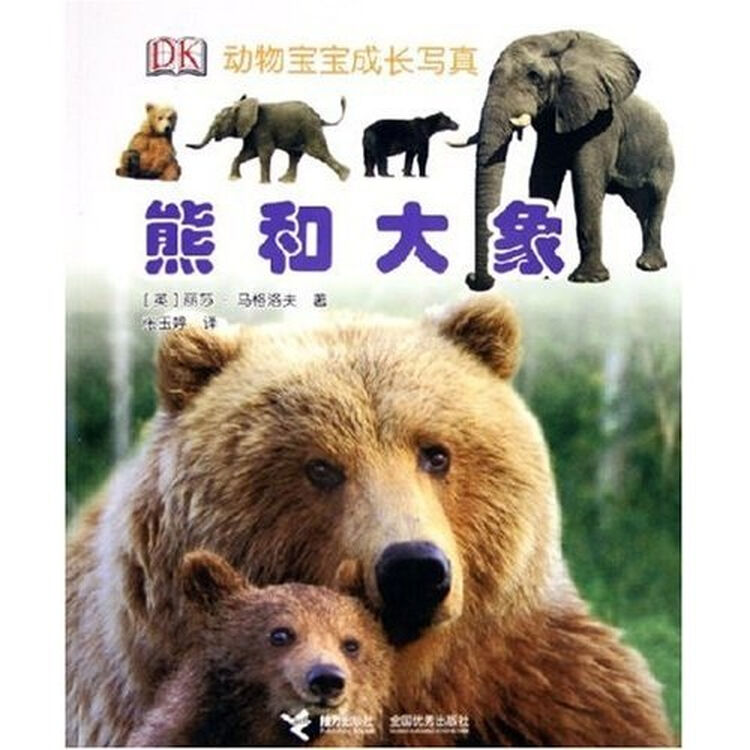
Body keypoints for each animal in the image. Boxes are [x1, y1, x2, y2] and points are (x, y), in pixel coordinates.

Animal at [187, 95, 350, 183]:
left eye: (218, 121)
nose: (186, 145)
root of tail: (318, 116)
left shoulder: (262, 129)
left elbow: (264, 154)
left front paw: (263, 184)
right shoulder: (250, 132)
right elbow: (247, 154)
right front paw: (234, 180)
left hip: (310, 129)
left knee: (319, 153)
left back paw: (345, 177)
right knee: (295, 155)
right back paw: (285, 181)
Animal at [453, 30, 674, 287]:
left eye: (534, 76)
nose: (470, 279)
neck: (555, 39)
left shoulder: (602, 123)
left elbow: (585, 181)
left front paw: (588, 280)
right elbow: (542, 176)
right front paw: (540, 274)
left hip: (664, 156)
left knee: (656, 199)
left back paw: (649, 266)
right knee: (640, 208)